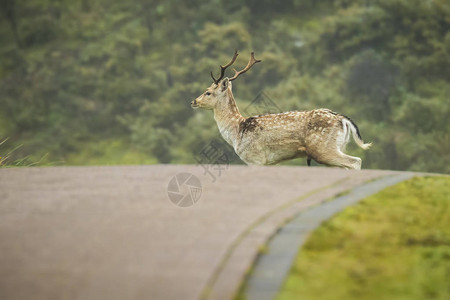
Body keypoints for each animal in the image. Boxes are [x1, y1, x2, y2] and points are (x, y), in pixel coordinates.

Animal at [192, 50, 370, 170]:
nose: (194, 101)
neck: (237, 132)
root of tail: (343, 119)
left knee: (355, 161)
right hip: (337, 147)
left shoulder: (255, 158)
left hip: (324, 148)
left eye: (208, 92)